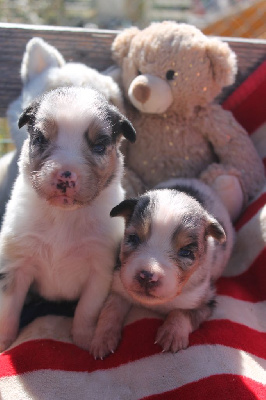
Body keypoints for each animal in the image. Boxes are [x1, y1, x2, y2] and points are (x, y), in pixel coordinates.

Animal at [0, 86, 136, 352]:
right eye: (40, 139)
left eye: (99, 145)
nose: (65, 176)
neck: (64, 216)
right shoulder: (16, 266)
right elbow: (8, 309)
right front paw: (4, 343)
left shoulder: (100, 270)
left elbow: (87, 309)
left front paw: (84, 339)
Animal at [90, 178, 234, 360]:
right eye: (133, 238)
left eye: (186, 252)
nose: (146, 276)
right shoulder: (119, 286)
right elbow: (110, 309)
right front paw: (102, 339)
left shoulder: (204, 301)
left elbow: (182, 312)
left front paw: (172, 334)